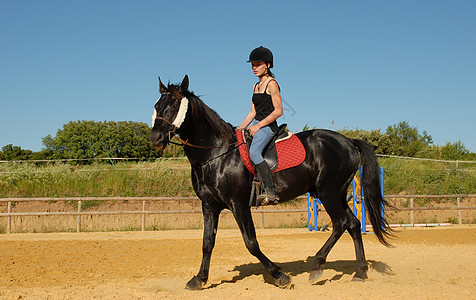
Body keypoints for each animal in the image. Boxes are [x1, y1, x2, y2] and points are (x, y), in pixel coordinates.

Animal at [150, 75, 390, 290]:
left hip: (328, 193)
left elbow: (251, 242)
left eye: (173, 106)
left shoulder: (238, 204)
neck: (216, 153)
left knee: (340, 223)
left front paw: (279, 276)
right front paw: (199, 279)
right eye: (156, 106)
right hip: (337, 194)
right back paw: (359, 272)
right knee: (353, 224)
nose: (155, 138)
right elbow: (207, 243)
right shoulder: (209, 206)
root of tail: (348, 141)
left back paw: (317, 266)